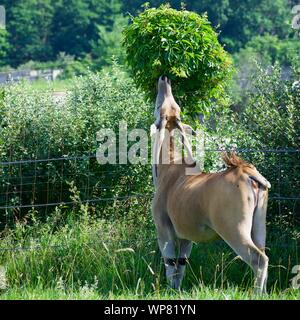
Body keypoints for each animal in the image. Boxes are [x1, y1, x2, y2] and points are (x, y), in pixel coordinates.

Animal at [151, 75, 270, 296]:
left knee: (259, 259)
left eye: (157, 107)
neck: (169, 165)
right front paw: (176, 290)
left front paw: (171, 290)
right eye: (175, 107)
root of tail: (246, 172)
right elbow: (181, 265)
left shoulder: (164, 232)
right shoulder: (186, 237)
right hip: (259, 229)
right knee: (265, 254)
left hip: (234, 231)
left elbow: (170, 263)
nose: (165, 78)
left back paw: (257, 294)